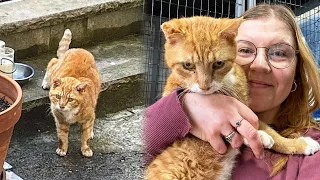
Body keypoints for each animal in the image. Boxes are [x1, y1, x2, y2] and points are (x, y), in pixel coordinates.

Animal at [42, 28, 100, 157]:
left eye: (70, 99)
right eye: (58, 96)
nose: (62, 106)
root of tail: (79, 49)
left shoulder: (88, 118)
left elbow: (85, 136)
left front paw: (86, 149)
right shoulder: (60, 120)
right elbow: (62, 137)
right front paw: (62, 149)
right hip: (55, 68)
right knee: (52, 62)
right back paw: (46, 82)